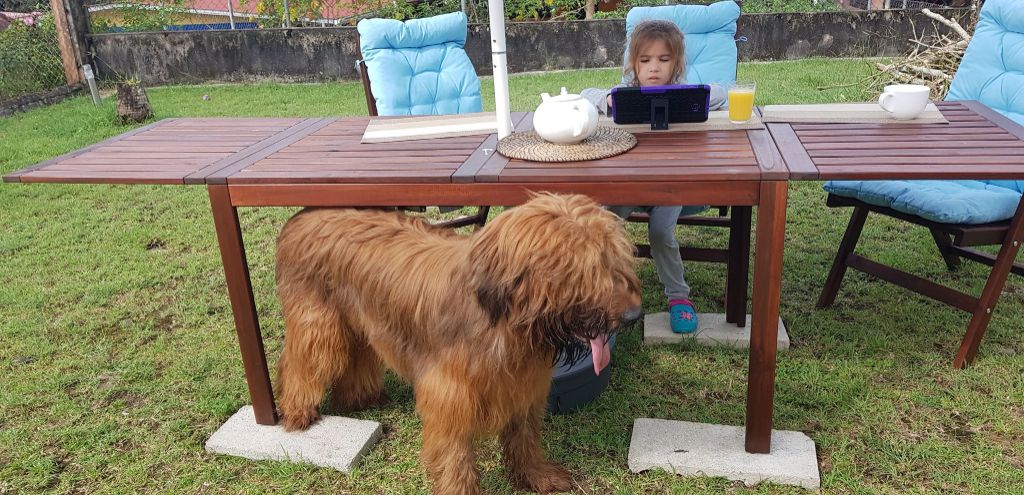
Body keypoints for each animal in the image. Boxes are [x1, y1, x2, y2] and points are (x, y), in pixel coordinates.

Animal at [272, 194, 638, 495]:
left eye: (614, 261)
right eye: (586, 269)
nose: (633, 315)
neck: (507, 323)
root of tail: (298, 218)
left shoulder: (522, 387)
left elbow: (524, 436)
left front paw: (537, 476)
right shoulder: (451, 395)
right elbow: (454, 454)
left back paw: (360, 398)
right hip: (320, 324)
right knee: (299, 361)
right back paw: (297, 411)